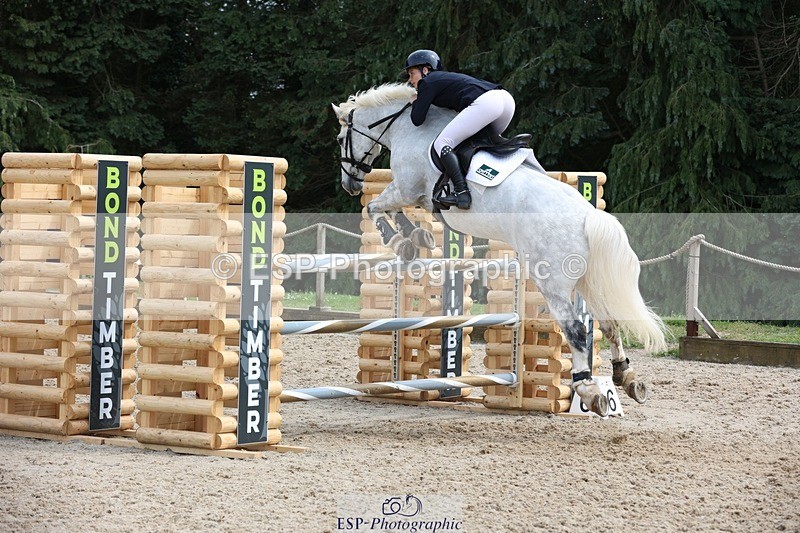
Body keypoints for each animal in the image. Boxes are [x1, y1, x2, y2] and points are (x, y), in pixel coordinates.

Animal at [331, 83, 666, 416]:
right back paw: (626, 377)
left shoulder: (406, 188)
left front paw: (401, 240)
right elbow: (393, 211)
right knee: (609, 323)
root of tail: (588, 216)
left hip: (553, 284)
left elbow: (376, 207)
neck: (405, 123)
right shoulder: (416, 196)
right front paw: (414, 237)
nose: (350, 184)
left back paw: (588, 390)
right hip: (587, 281)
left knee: (576, 330)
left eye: (339, 139)